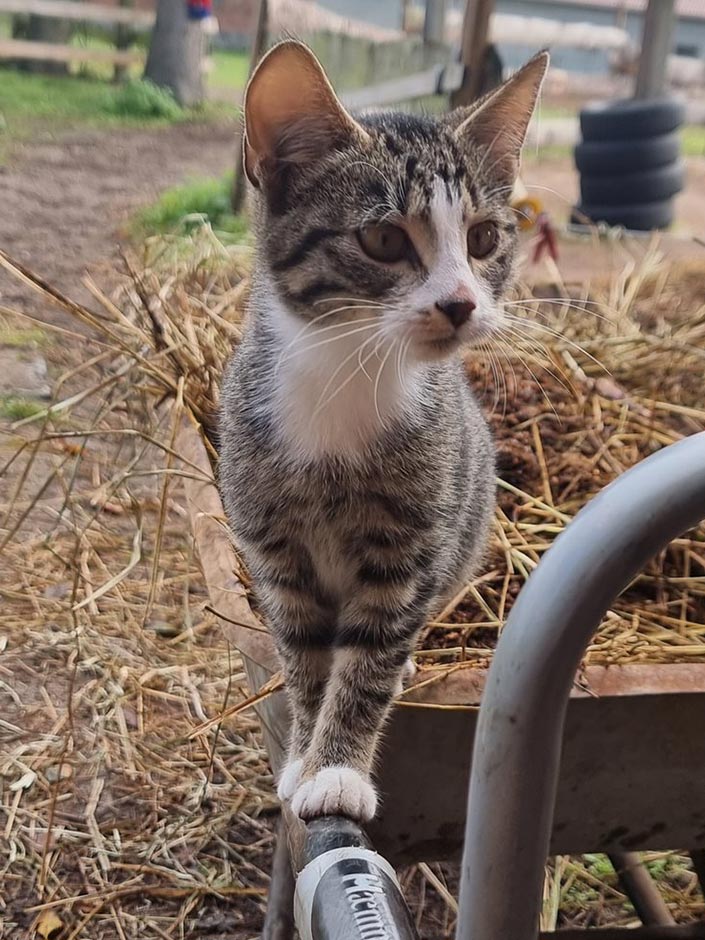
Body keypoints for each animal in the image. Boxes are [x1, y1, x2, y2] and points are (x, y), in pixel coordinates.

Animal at [217, 42, 548, 824]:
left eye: (484, 238)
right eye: (383, 238)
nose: (460, 303)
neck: (347, 371)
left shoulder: (411, 547)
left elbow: (368, 655)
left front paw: (338, 767)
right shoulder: (275, 550)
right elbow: (303, 656)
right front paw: (305, 751)